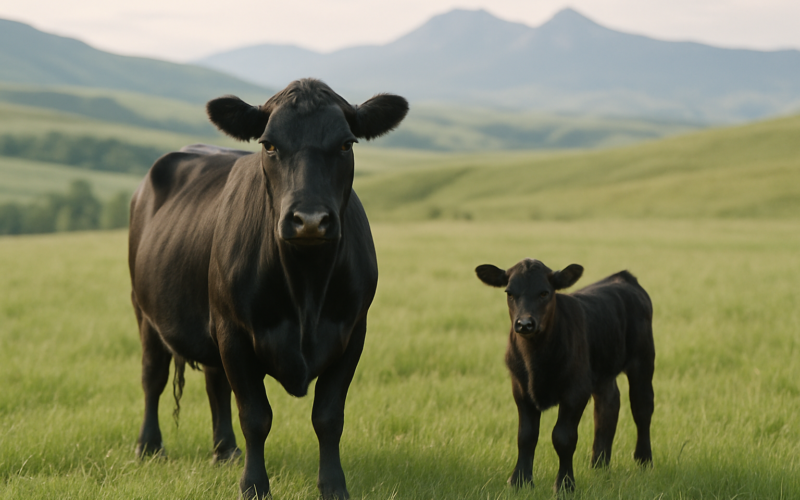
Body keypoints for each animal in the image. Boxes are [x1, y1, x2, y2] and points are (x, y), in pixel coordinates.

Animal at [128, 78, 408, 499]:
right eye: (269, 145)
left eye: (346, 144)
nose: (310, 219)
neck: (306, 289)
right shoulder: (235, 333)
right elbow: (256, 416)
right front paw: (255, 486)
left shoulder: (353, 333)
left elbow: (329, 417)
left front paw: (333, 486)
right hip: (145, 311)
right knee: (152, 376)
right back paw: (149, 446)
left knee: (214, 383)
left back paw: (225, 451)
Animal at [475, 258, 655, 492]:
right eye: (509, 293)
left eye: (545, 292)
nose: (524, 324)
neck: (535, 361)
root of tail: (624, 277)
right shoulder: (520, 389)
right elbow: (526, 436)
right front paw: (520, 481)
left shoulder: (576, 391)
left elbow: (563, 437)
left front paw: (564, 484)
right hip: (602, 370)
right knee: (608, 406)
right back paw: (599, 465)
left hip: (643, 360)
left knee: (642, 408)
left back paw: (644, 461)